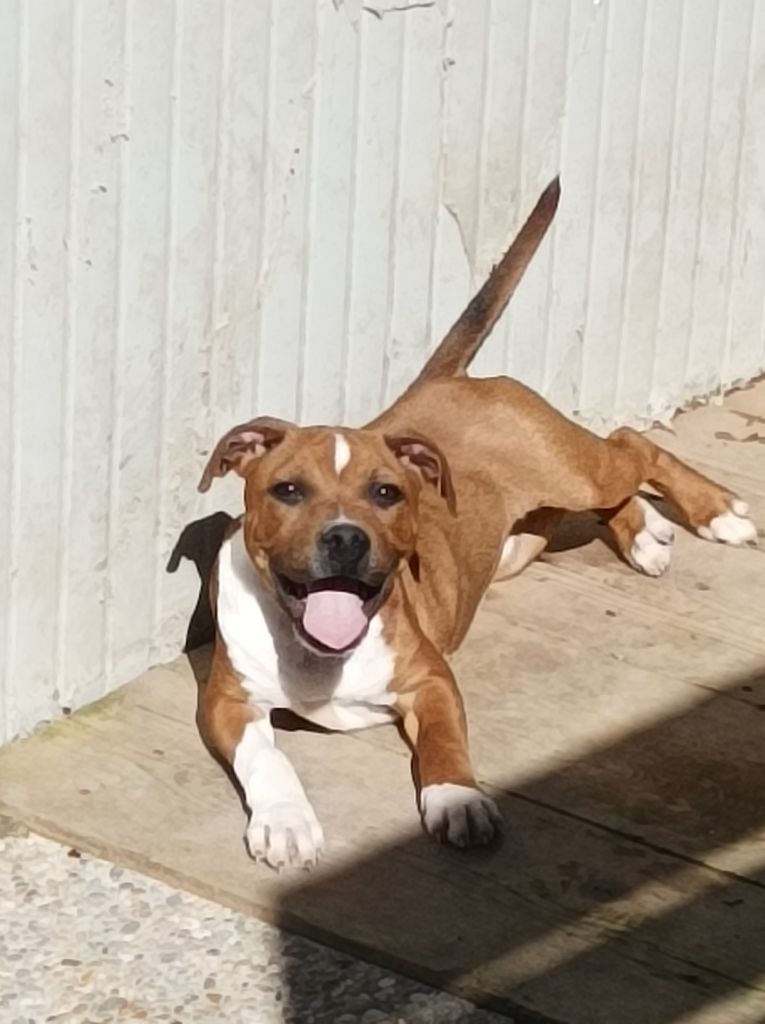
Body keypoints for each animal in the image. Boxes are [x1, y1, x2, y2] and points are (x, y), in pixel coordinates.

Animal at [197, 179, 756, 869]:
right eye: (289, 490)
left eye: (386, 493)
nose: (346, 538)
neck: (317, 649)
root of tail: (445, 382)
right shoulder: (226, 702)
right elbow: (267, 756)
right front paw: (285, 820)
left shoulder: (433, 679)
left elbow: (444, 744)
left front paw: (456, 800)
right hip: (521, 538)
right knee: (606, 483)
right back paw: (645, 529)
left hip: (571, 468)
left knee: (632, 445)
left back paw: (714, 512)